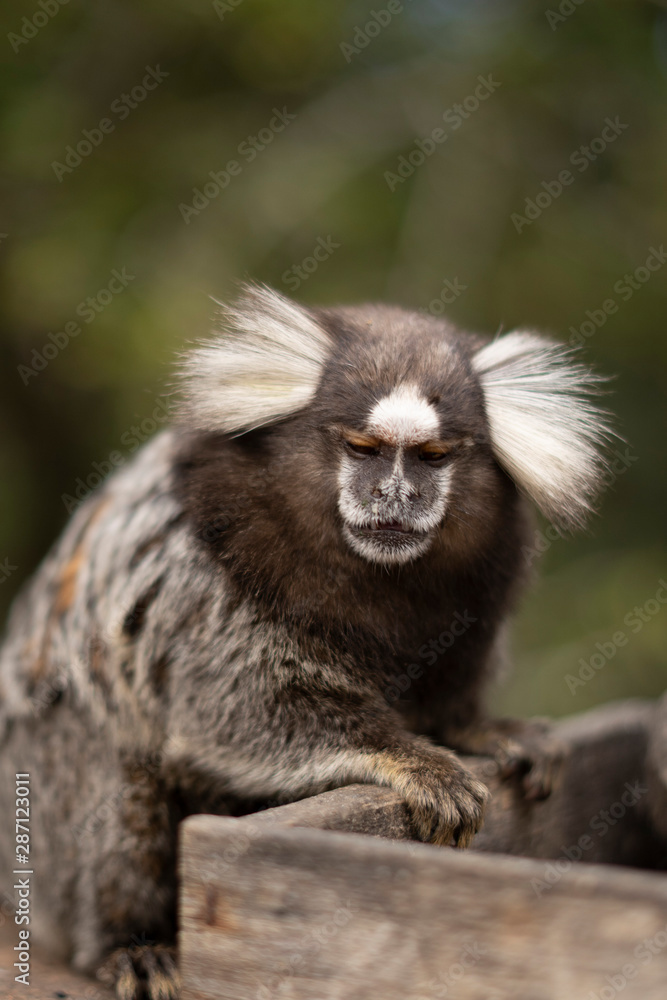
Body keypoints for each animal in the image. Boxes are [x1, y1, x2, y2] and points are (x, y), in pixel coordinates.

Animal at [0, 284, 613, 999]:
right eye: (364, 448)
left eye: (432, 458)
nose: (394, 495)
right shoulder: (205, 572)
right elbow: (236, 711)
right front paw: (414, 759)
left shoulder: (478, 594)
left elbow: (451, 688)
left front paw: (480, 729)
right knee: (118, 768)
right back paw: (132, 944)